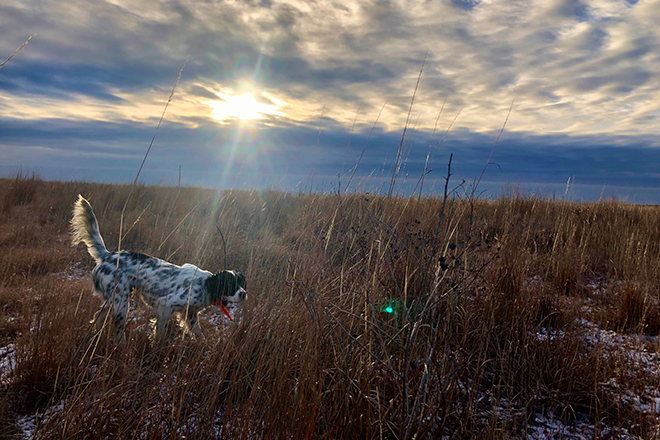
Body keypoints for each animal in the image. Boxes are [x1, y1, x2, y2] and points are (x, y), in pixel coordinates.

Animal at [69, 195, 246, 340]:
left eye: (242, 283)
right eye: (231, 284)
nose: (244, 294)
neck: (205, 285)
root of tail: (107, 255)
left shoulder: (191, 315)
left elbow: (199, 335)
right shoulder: (165, 305)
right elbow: (160, 334)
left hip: (111, 301)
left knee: (96, 318)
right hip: (121, 303)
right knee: (118, 332)